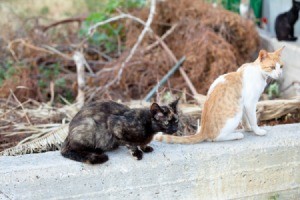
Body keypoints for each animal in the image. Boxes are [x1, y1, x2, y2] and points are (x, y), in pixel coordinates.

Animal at [156, 47, 284, 144]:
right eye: (272, 67)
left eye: (281, 66)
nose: (279, 74)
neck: (257, 71)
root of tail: (203, 130)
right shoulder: (250, 103)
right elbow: (252, 119)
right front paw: (257, 131)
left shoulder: (243, 104)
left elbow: (245, 119)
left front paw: (247, 128)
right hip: (235, 114)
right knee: (215, 138)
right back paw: (236, 135)